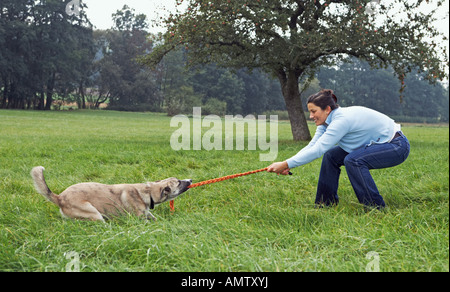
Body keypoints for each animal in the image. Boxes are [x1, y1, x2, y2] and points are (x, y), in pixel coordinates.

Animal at [29, 167, 192, 221]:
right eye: (178, 182)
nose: (190, 180)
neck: (147, 191)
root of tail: (60, 197)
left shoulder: (146, 213)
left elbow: (154, 217)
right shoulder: (139, 219)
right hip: (93, 213)